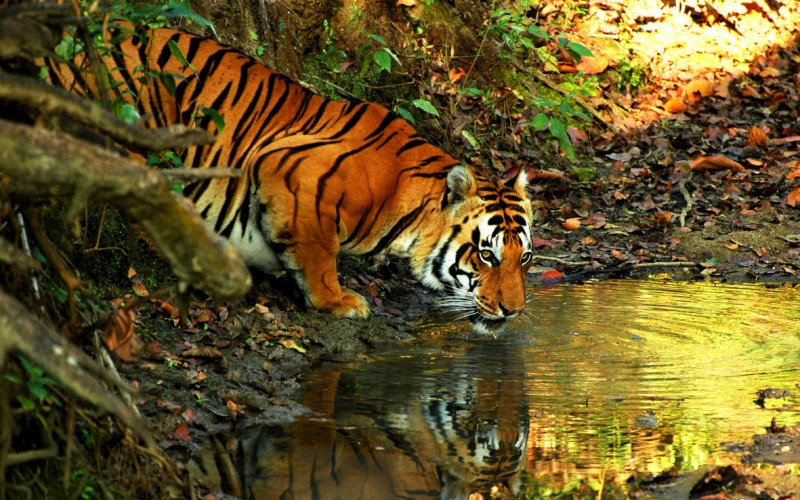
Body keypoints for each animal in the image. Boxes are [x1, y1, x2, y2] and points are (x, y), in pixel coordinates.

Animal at [51, 24, 536, 336]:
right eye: (487, 256)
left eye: (526, 258)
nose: (514, 311)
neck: (406, 208)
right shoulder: (293, 170)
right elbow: (320, 252)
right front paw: (338, 301)